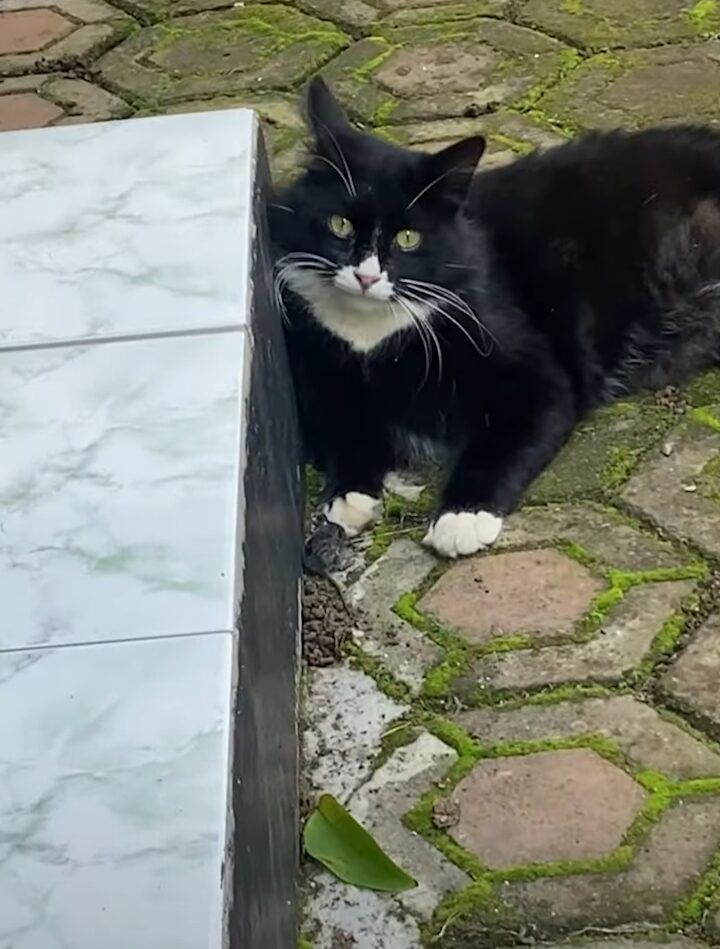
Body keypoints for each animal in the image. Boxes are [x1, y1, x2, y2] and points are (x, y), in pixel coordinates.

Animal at [269, 76, 720, 558]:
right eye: (339, 224)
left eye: (409, 238)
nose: (366, 276)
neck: (371, 333)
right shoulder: (320, 379)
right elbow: (343, 429)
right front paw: (348, 494)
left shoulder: (537, 377)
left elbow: (501, 442)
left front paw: (461, 517)